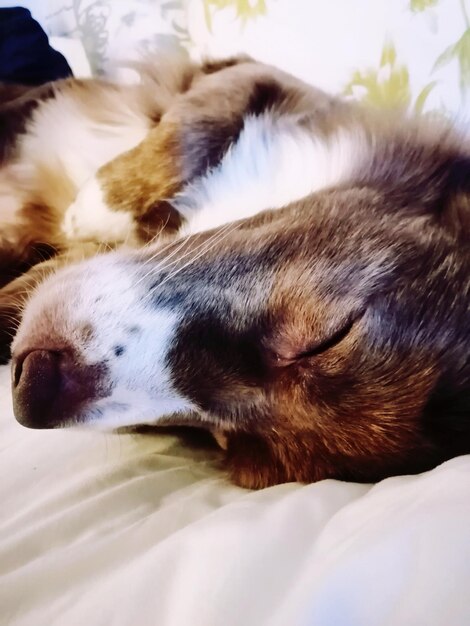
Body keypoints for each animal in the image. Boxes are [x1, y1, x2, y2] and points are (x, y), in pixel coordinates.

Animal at [0, 57, 470, 488]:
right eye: (329, 335)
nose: (32, 390)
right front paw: (90, 210)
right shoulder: (249, 73)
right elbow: (197, 123)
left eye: (221, 437)